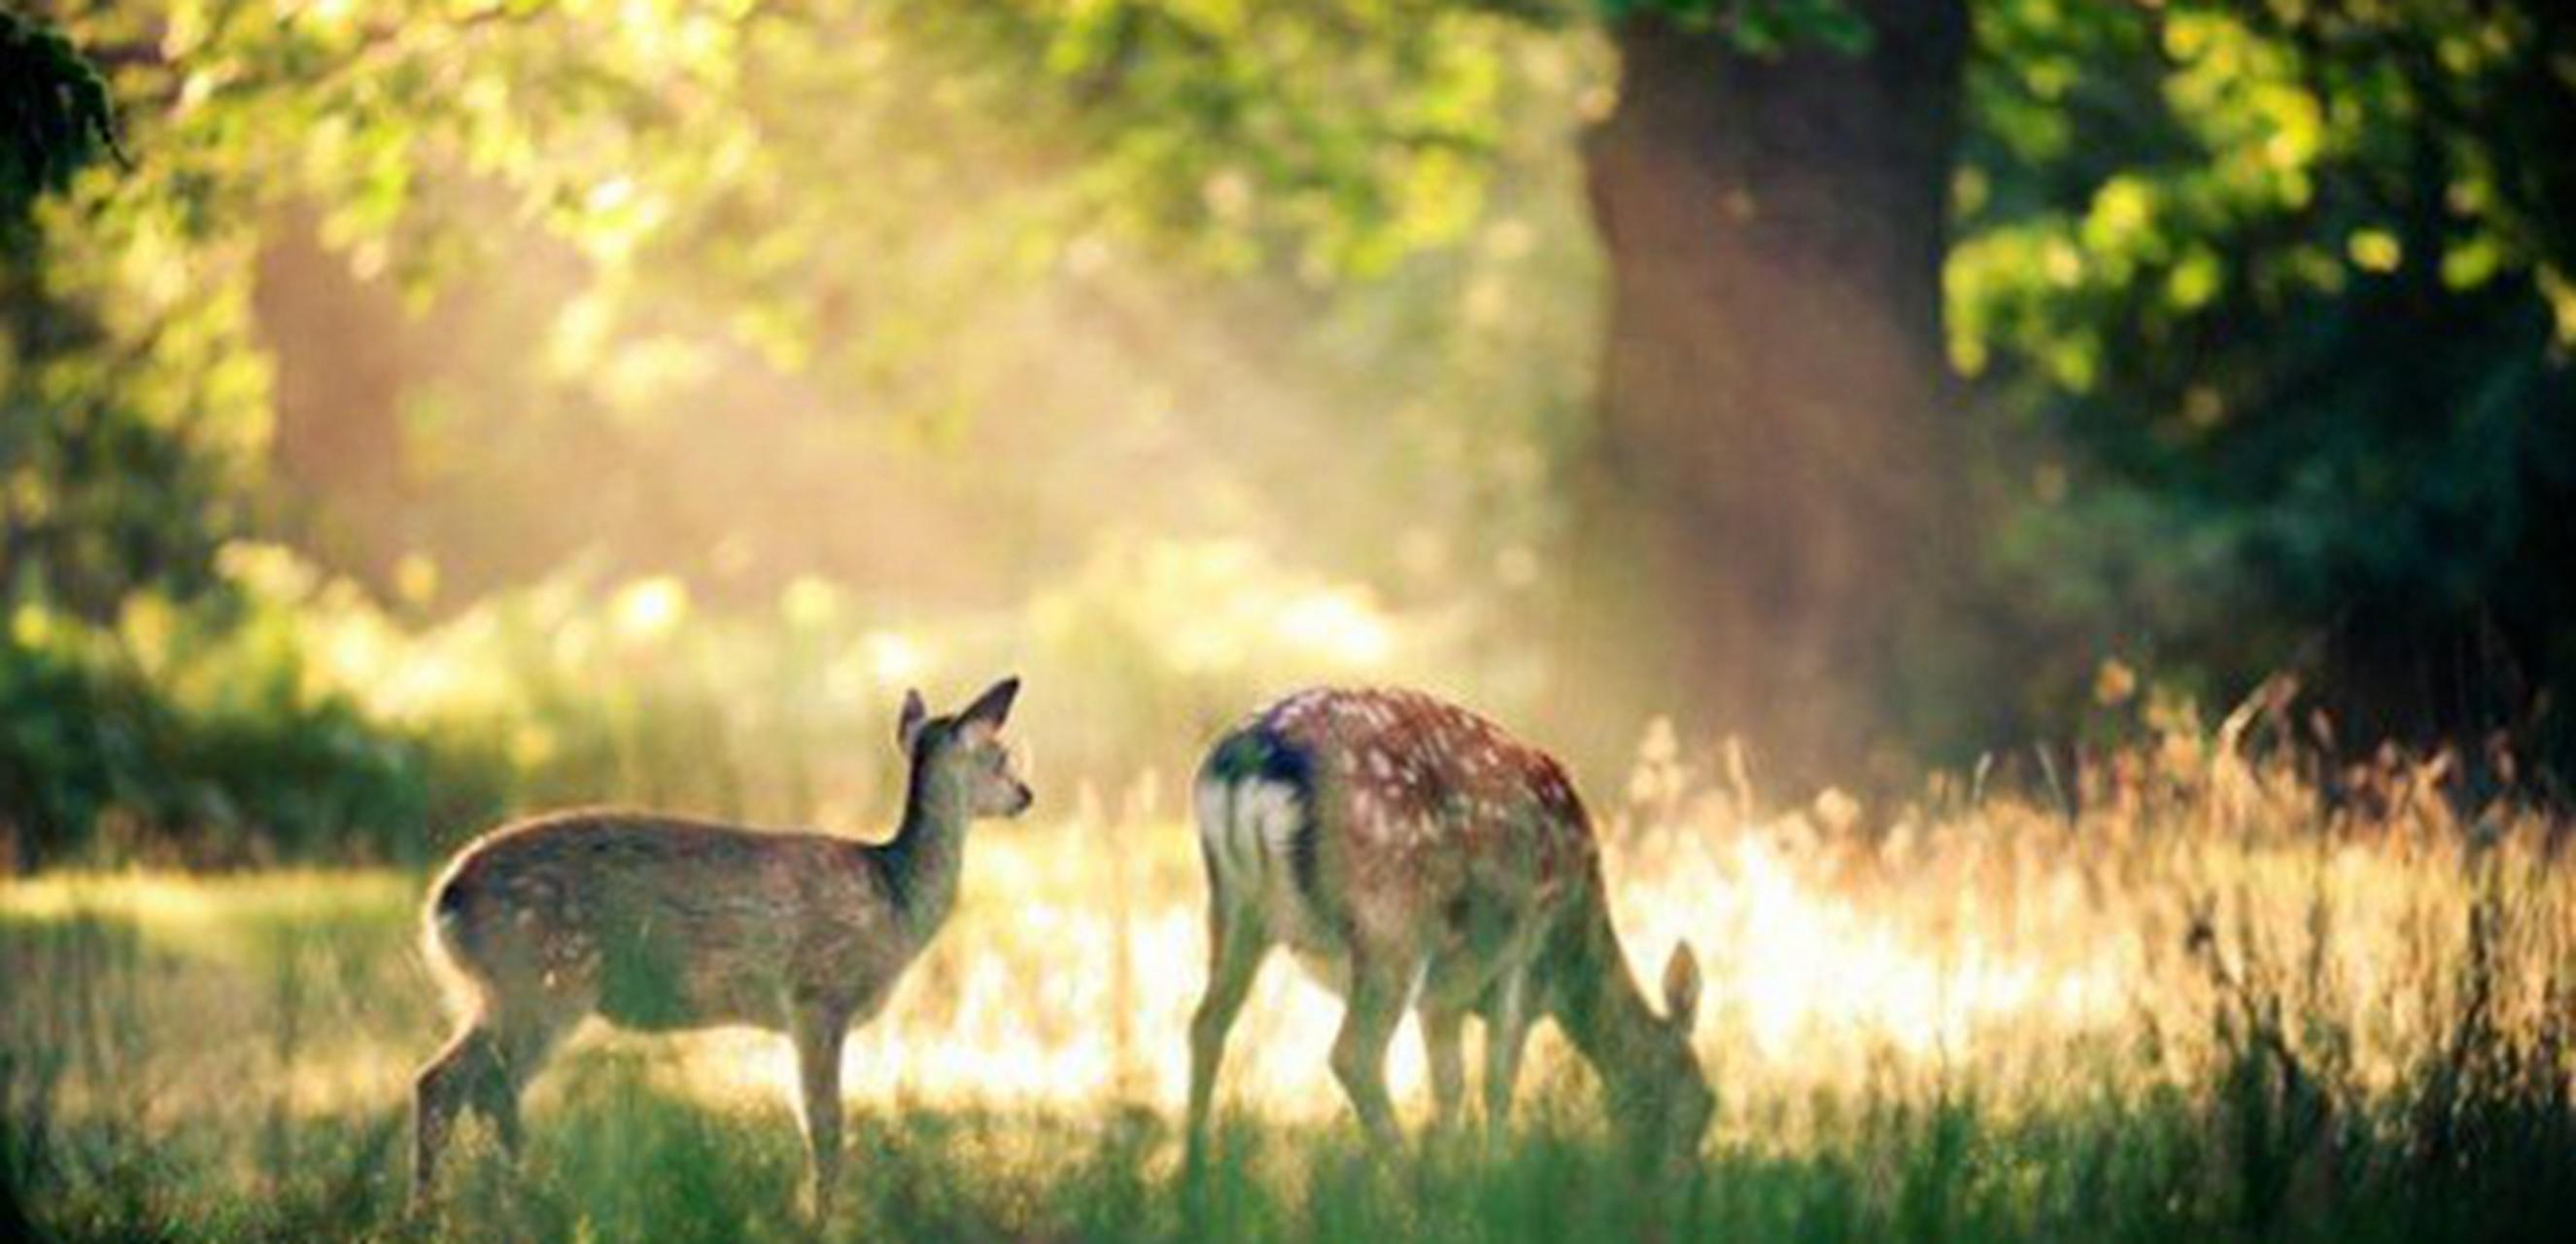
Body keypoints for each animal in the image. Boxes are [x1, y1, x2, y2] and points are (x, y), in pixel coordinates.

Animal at [406, 670, 1030, 1215]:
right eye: (1000, 757)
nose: (1026, 794)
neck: (896, 896)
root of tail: (444, 900)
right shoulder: (819, 994)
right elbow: (825, 1128)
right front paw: (820, 1220)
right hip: (545, 978)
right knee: (486, 1087)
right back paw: (511, 1204)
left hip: (499, 990)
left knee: (442, 1082)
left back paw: (438, 1211)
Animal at [1180, 684, 1710, 1174]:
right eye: (1699, 1103)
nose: (1680, 1184)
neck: (1575, 951)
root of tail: (1244, 765)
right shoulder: (1525, 946)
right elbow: (1497, 1080)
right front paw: (1492, 1175)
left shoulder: (1444, 997)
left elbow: (1451, 1085)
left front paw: (1457, 1170)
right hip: (1392, 920)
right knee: (1354, 1054)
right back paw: (1410, 1185)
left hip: (1234, 905)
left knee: (1207, 1024)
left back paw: (1193, 1180)